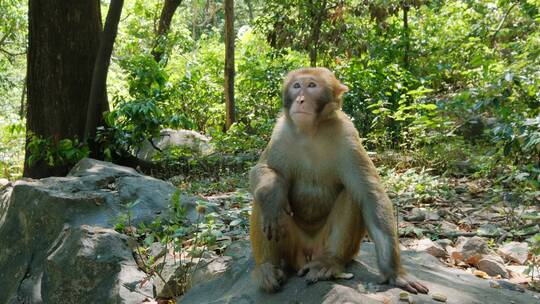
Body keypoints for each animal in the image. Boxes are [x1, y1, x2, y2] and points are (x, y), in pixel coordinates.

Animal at [249, 67, 430, 294]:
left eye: (312, 86)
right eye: (296, 86)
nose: (300, 99)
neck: (311, 132)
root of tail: (306, 255)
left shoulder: (347, 135)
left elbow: (370, 196)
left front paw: (395, 273)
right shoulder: (280, 133)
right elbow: (261, 170)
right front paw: (272, 193)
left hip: (337, 248)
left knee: (351, 195)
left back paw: (329, 262)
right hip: (292, 248)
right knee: (262, 200)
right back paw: (267, 267)